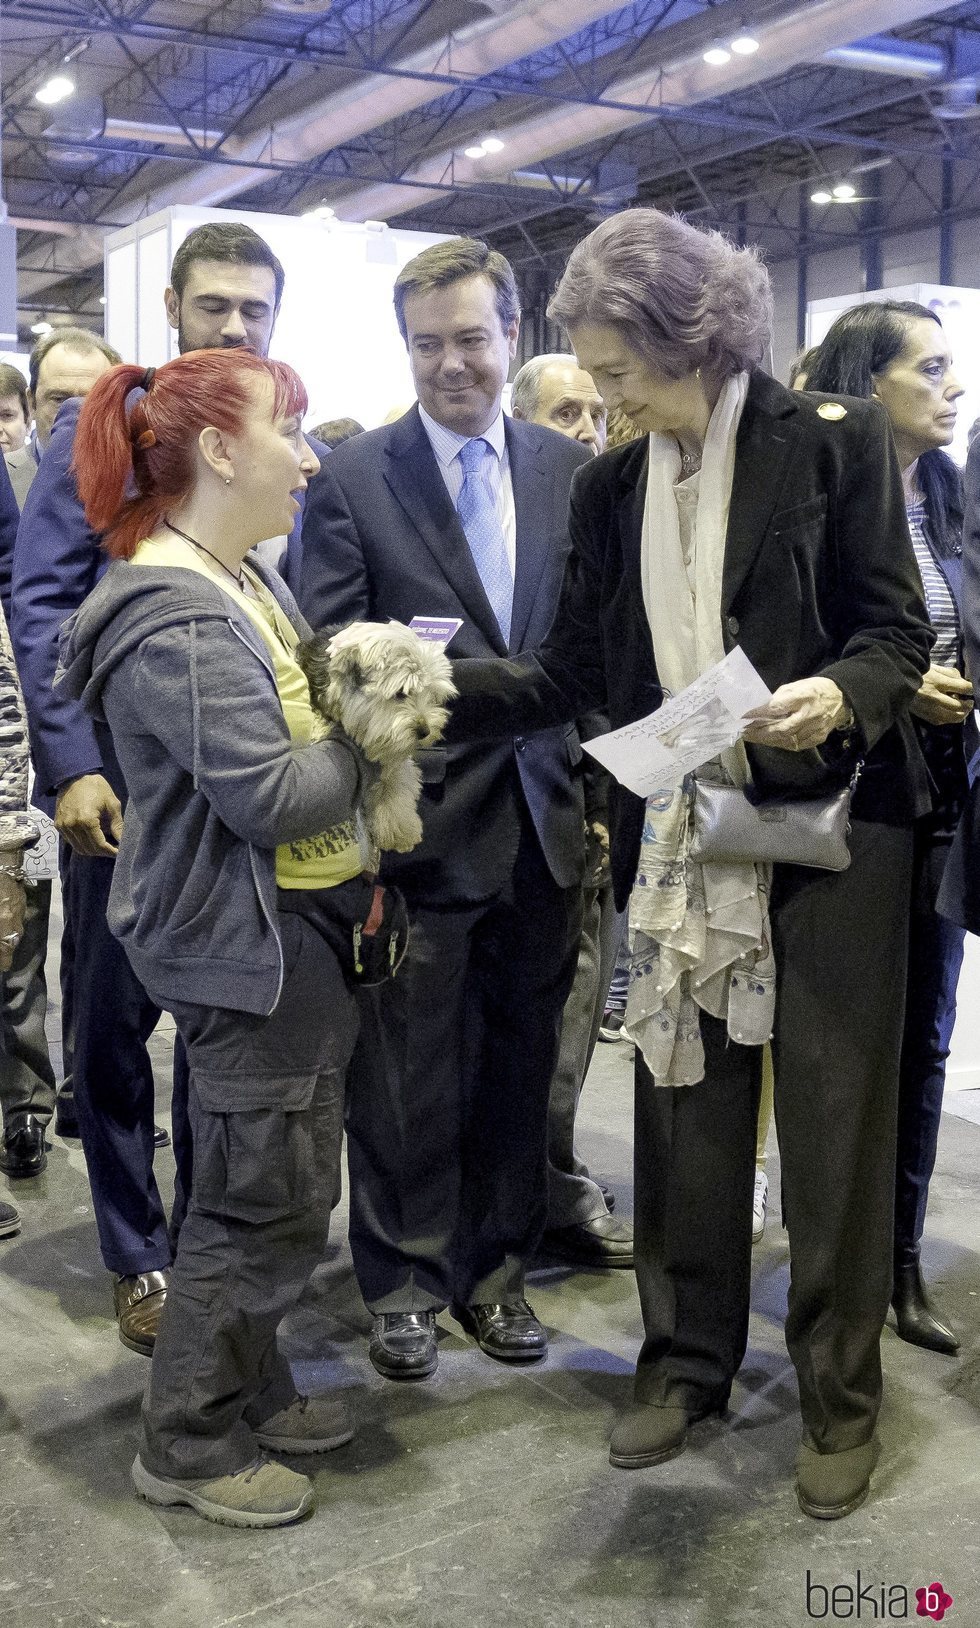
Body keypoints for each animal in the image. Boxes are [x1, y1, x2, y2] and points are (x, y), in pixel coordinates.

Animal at [297, 618, 452, 853]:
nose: (425, 731)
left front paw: (400, 828)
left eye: (432, 695)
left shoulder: (396, 759)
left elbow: (397, 783)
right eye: (401, 693)